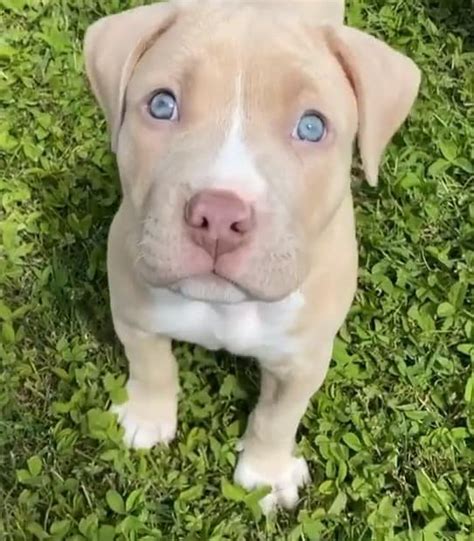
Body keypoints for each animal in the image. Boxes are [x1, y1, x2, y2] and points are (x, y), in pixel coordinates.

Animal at [84, 0, 418, 512]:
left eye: (311, 126)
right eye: (161, 105)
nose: (219, 216)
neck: (224, 307)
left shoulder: (302, 360)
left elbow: (277, 417)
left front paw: (266, 473)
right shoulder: (133, 309)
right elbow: (151, 365)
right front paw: (147, 417)